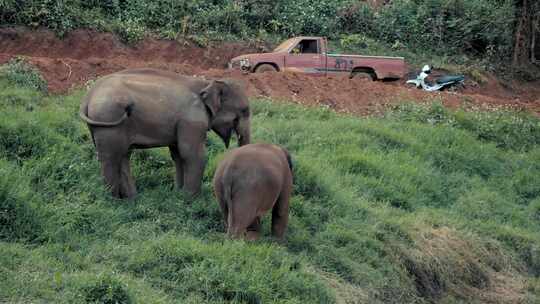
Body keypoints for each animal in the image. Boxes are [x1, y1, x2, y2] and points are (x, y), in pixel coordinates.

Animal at [79, 67, 251, 198]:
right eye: (244, 110)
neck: (206, 83)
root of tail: (89, 94)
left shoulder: (181, 124)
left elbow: (178, 155)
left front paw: (178, 194)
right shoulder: (191, 120)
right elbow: (193, 154)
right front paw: (190, 199)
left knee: (123, 155)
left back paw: (131, 199)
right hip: (108, 118)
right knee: (111, 157)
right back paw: (114, 200)